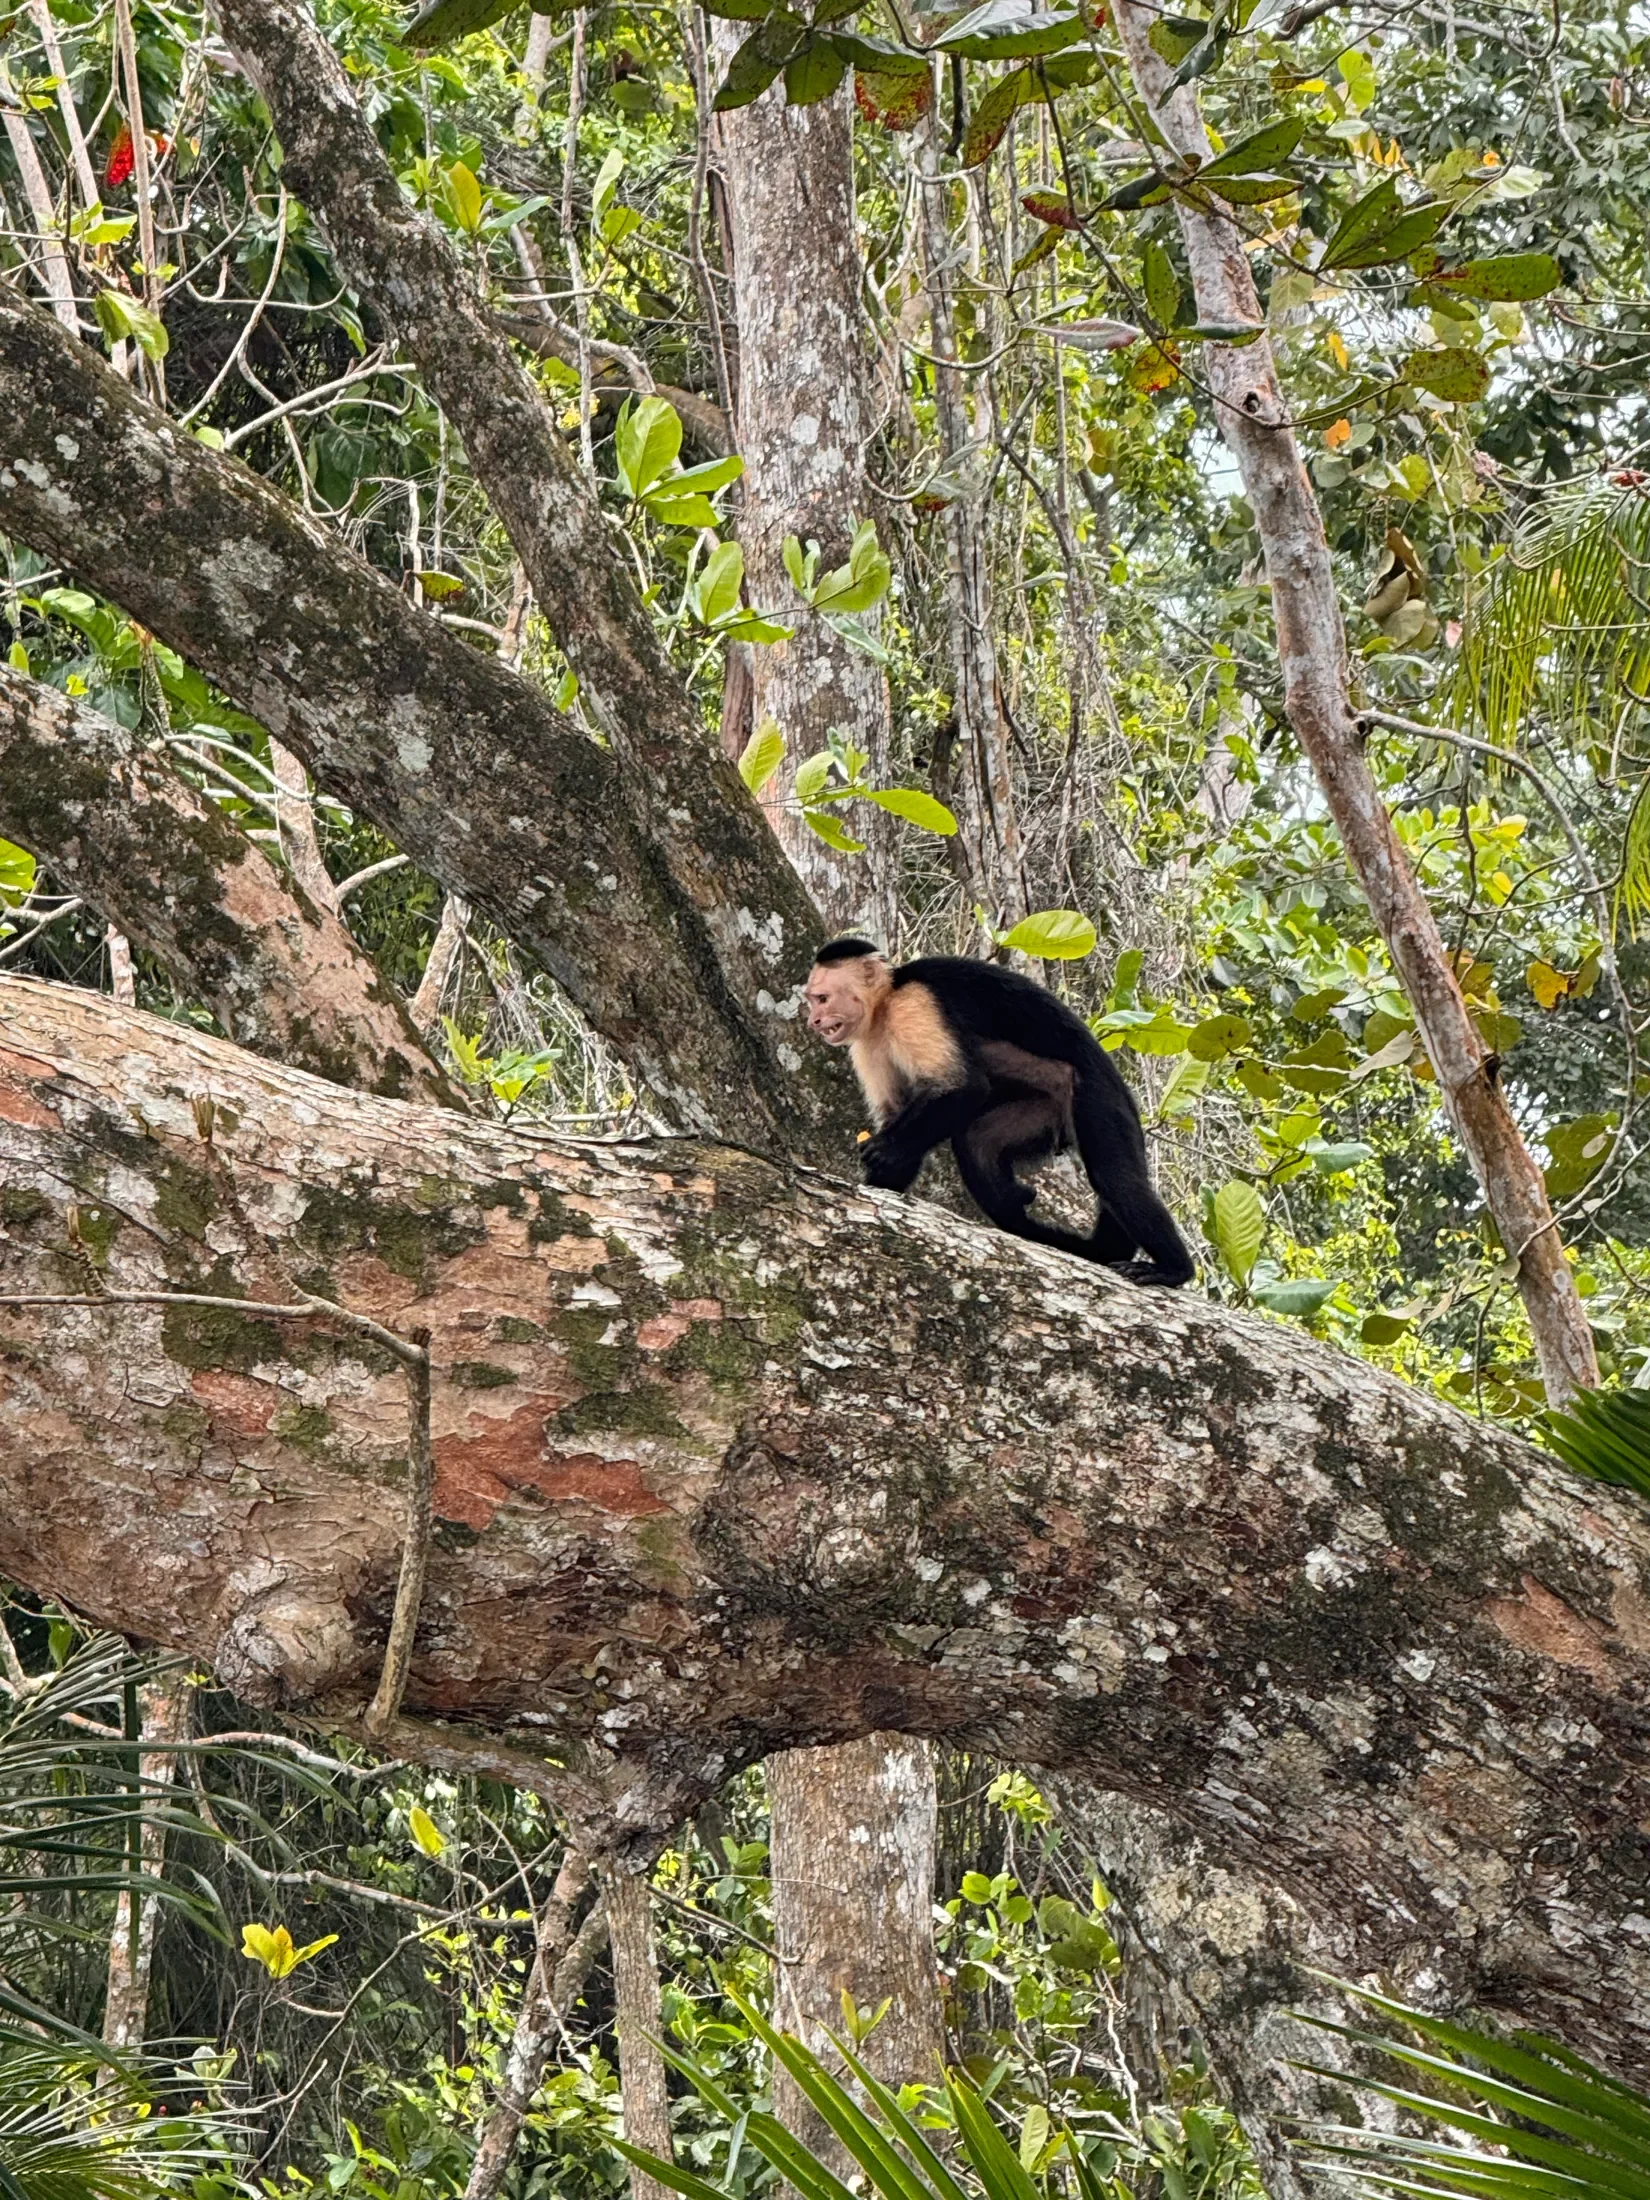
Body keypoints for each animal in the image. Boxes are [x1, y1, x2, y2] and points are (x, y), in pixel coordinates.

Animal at [804, 938, 1194, 1286]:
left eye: (822, 999)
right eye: (813, 1003)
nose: (814, 1021)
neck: (886, 1002)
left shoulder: (914, 1005)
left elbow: (965, 1087)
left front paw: (883, 1150)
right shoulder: (867, 1042)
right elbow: (898, 1112)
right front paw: (882, 1185)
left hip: (1097, 1098)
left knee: (1114, 1177)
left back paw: (1174, 1270)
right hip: (1047, 1110)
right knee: (977, 1144)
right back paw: (1021, 1212)